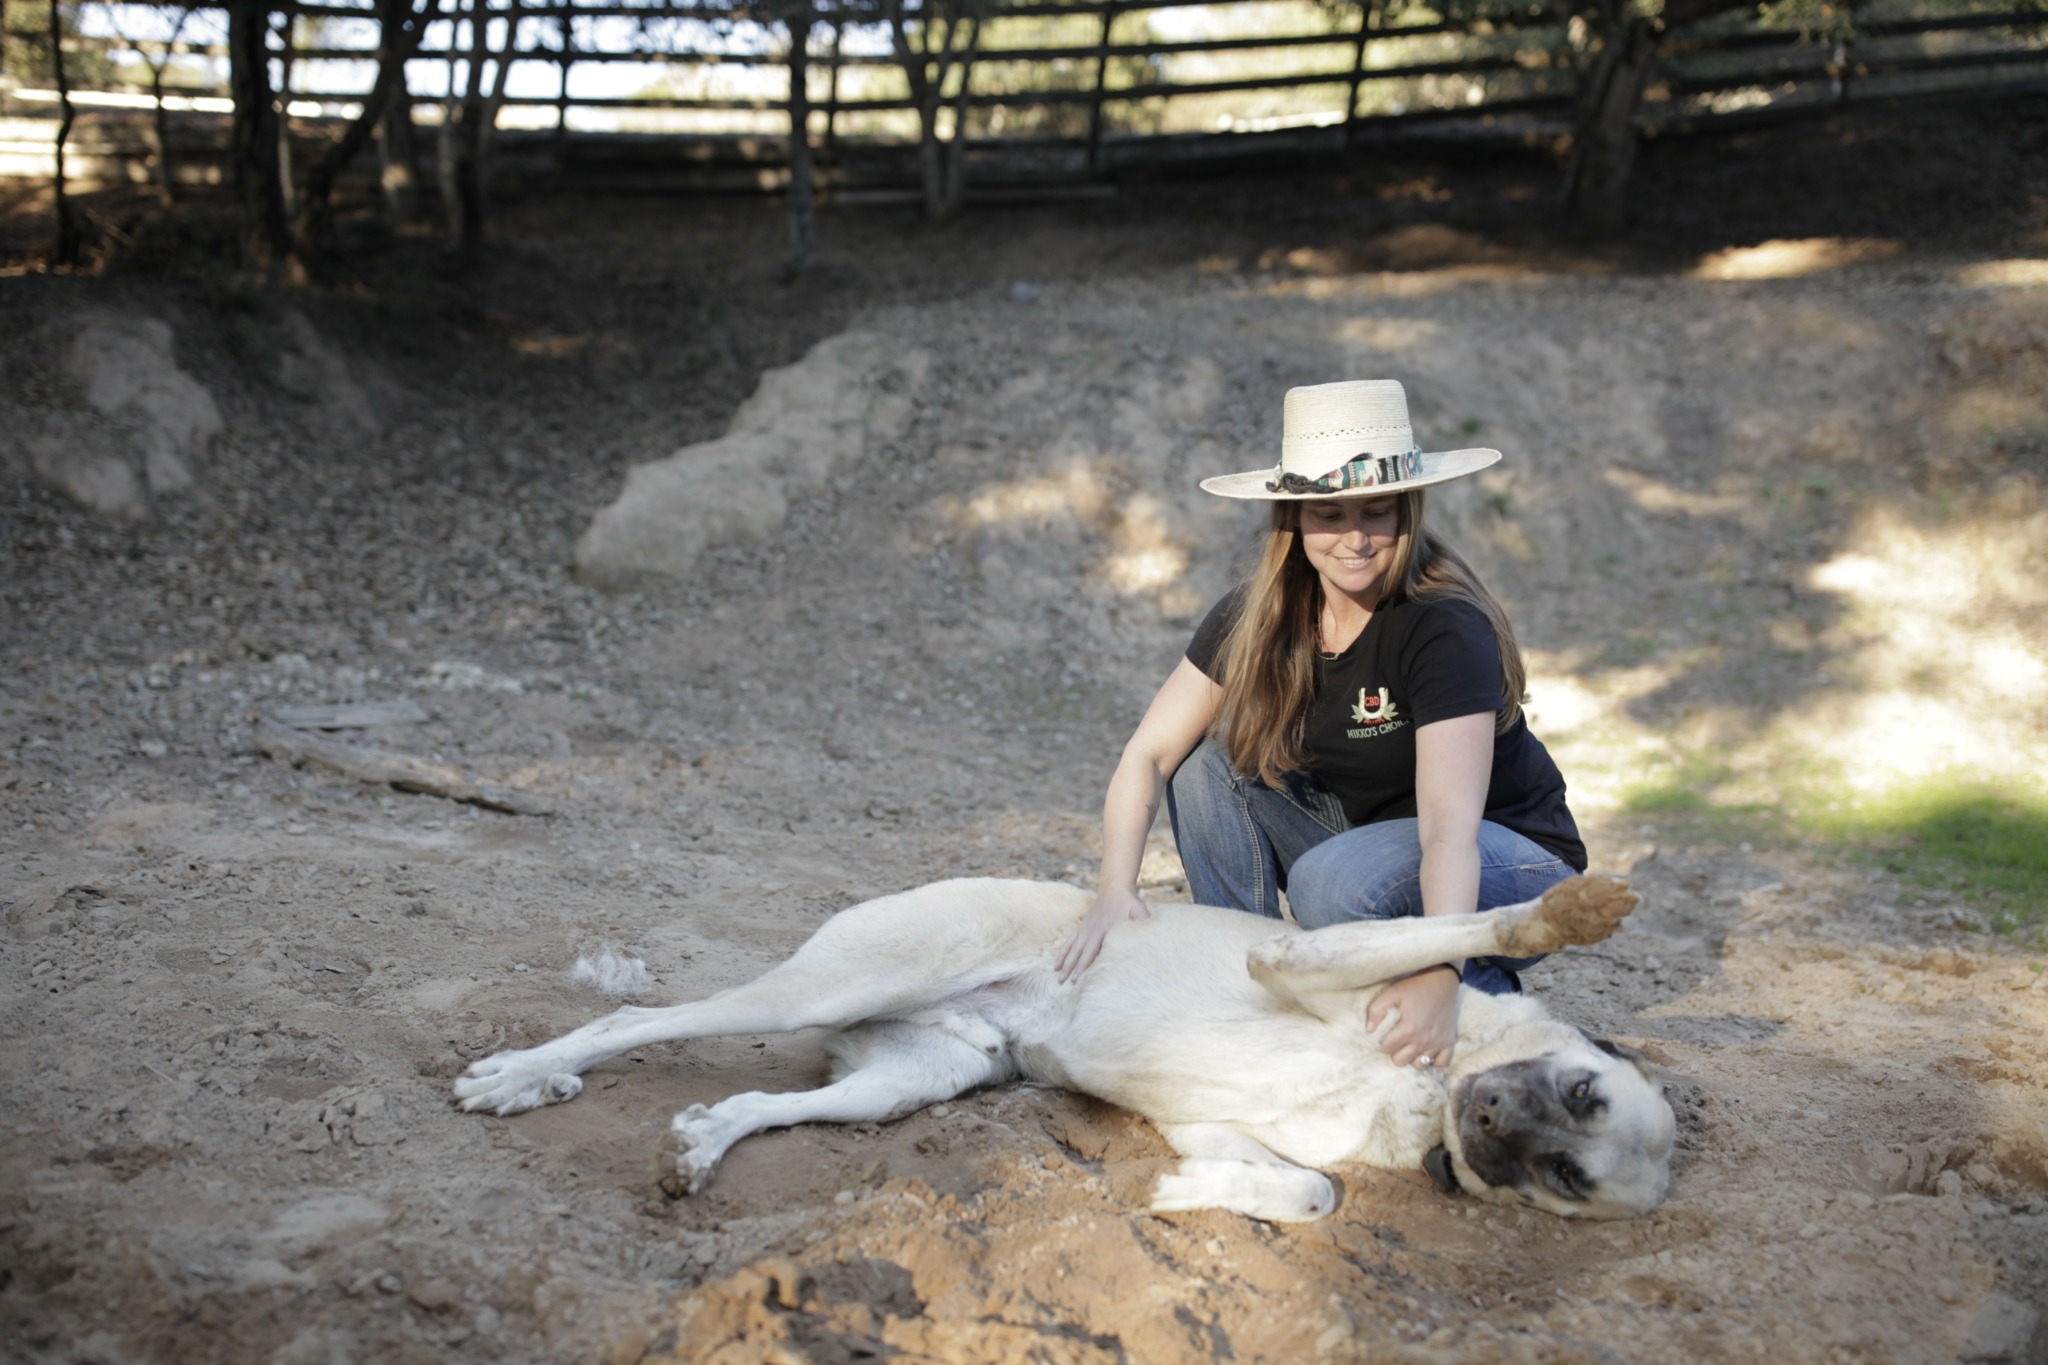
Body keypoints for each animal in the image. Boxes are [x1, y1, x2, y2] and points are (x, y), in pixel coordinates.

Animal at [454, 875, 1673, 1222]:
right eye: (1580, 1086)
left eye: (1568, 1173)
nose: (1487, 1118)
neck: (1419, 1099)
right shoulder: (1297, 958)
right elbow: (1470, 927)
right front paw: (1560, 912)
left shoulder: (1215, 1122)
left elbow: (1310, 1191)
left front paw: (1186, 1195)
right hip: (843, 981)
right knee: (635, 1021)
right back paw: (519, 1075)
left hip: (915, 1077)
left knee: (755, 1105)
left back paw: (699, 1148)